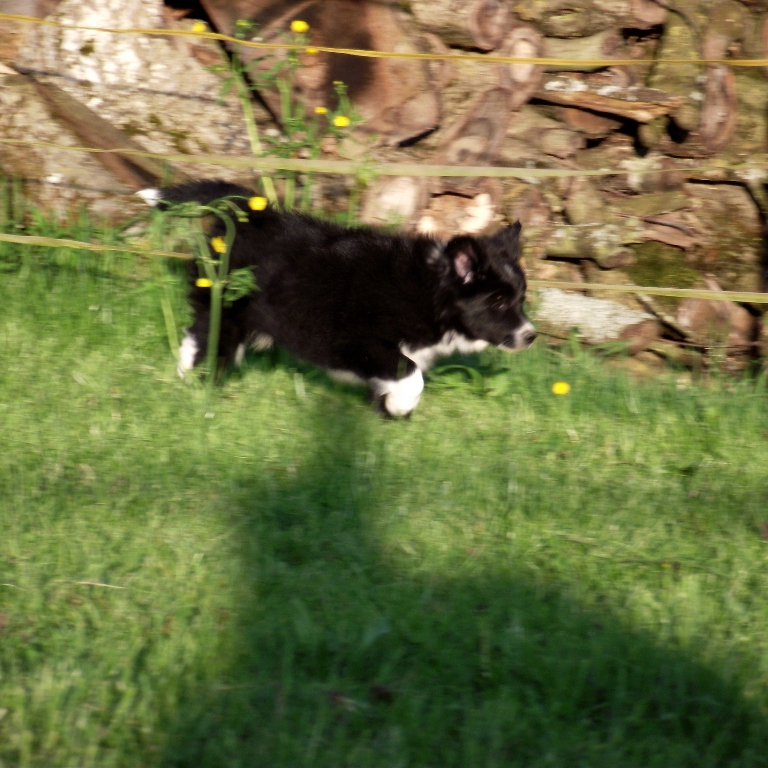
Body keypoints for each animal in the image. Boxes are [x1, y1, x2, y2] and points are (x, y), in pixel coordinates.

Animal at [141, 180, 535, 416]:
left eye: (520, 299)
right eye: (498, 302)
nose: (530, 336)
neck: (429, 290)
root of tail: (250, 213)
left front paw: (385, 412)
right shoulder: (361, 342)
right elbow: (410, 374)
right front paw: (401, 406)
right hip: (226, 305)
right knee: (205, 338)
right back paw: (197, 386)